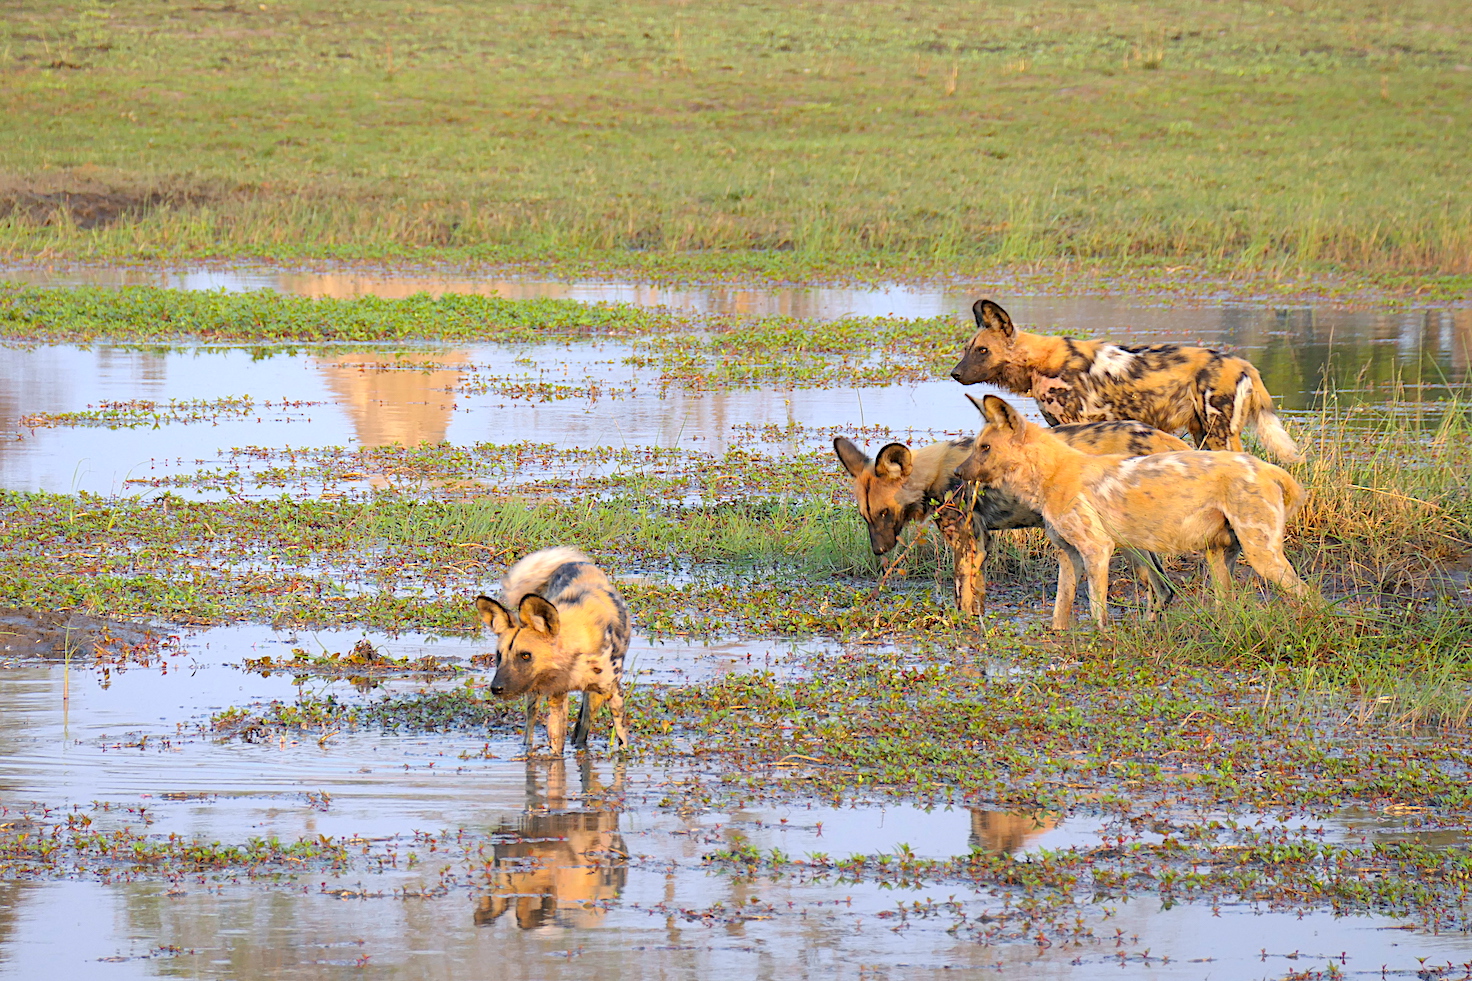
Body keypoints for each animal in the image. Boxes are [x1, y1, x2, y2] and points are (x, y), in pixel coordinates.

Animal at [473, 545, 630, 751]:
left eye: (525, 655)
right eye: (499, 655)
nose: (496, 688)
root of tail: (574, 562)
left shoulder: (612, 693)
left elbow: (621, 741)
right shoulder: (556, 698)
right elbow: (556, 750)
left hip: (593, 697)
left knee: (583, 727)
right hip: (534, 692)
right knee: (530, 730)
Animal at [836, 418, 1189, 615]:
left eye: (885, 512)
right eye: (866, 516)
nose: (879, 550)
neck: (934, 473)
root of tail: (1163, 438)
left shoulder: (967, 543)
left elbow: (962, 598)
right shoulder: (982, 543)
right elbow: (977, 595)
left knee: (1161, 590)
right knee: (1165, 591)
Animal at [947, 297, 1307, 462]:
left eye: (982, 350)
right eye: (967, 349)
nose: (955, 374)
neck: (1039, 363)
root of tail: (1245, 364)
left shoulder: (1076, 424)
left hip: (1219, 432)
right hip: (1202, 432)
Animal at [959, 391, 1318, 627]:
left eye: (985, 447)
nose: (959, 473)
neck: (1050, 473)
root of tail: (1266, 467)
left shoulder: (1097, 550)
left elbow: (1098, 613)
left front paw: (1102, 642)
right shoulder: (1069, 556)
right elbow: (1060, 613)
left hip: (1263, 557)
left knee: (1309, 595)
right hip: (1219, 557)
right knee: (1226, 605)